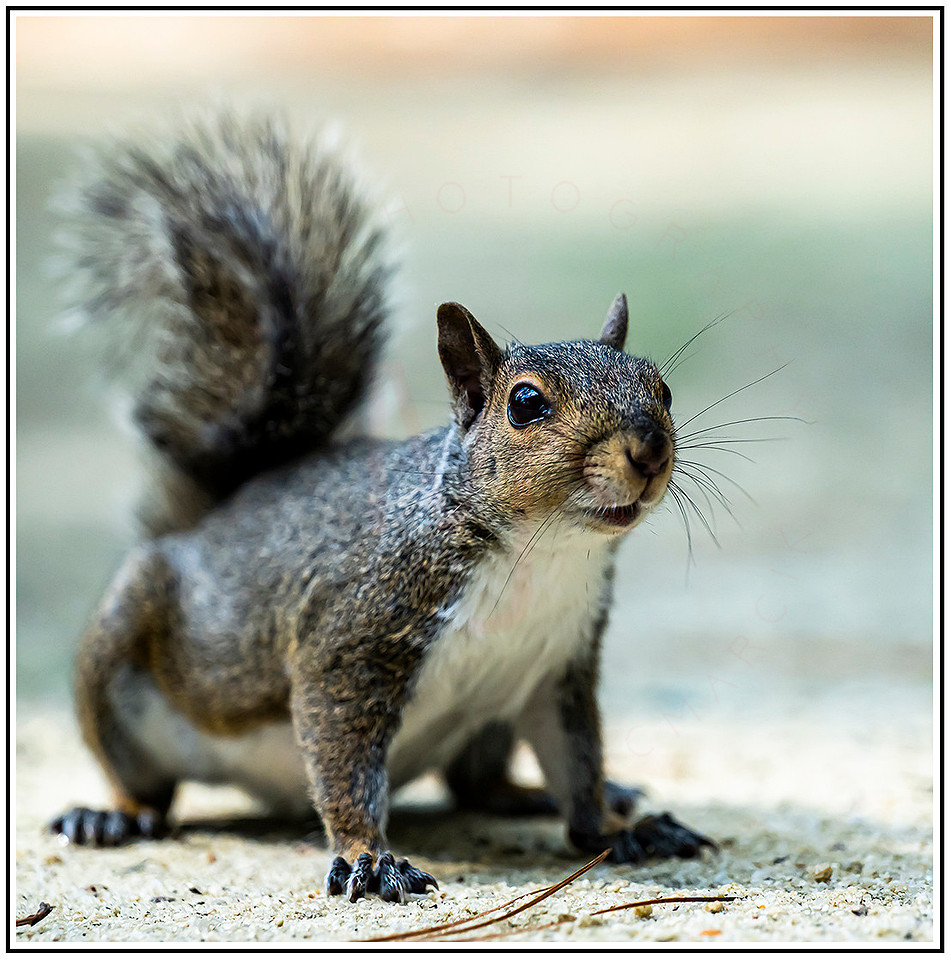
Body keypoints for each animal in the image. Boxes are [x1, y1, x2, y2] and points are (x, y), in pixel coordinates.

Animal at [49, 110, 713, 903]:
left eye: (662, 388)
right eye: (525, 404)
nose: (649, 450)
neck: (540, 554)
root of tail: (205, 521)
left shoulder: (558, 665)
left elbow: (576, 761)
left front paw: (614, 827)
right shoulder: (351, 638)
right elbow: (343, 757)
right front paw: (369, 855)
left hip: (488, 722)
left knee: (476, 784)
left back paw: (550, 794)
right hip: (120, 651)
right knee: (142, 781)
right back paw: (109, 814)